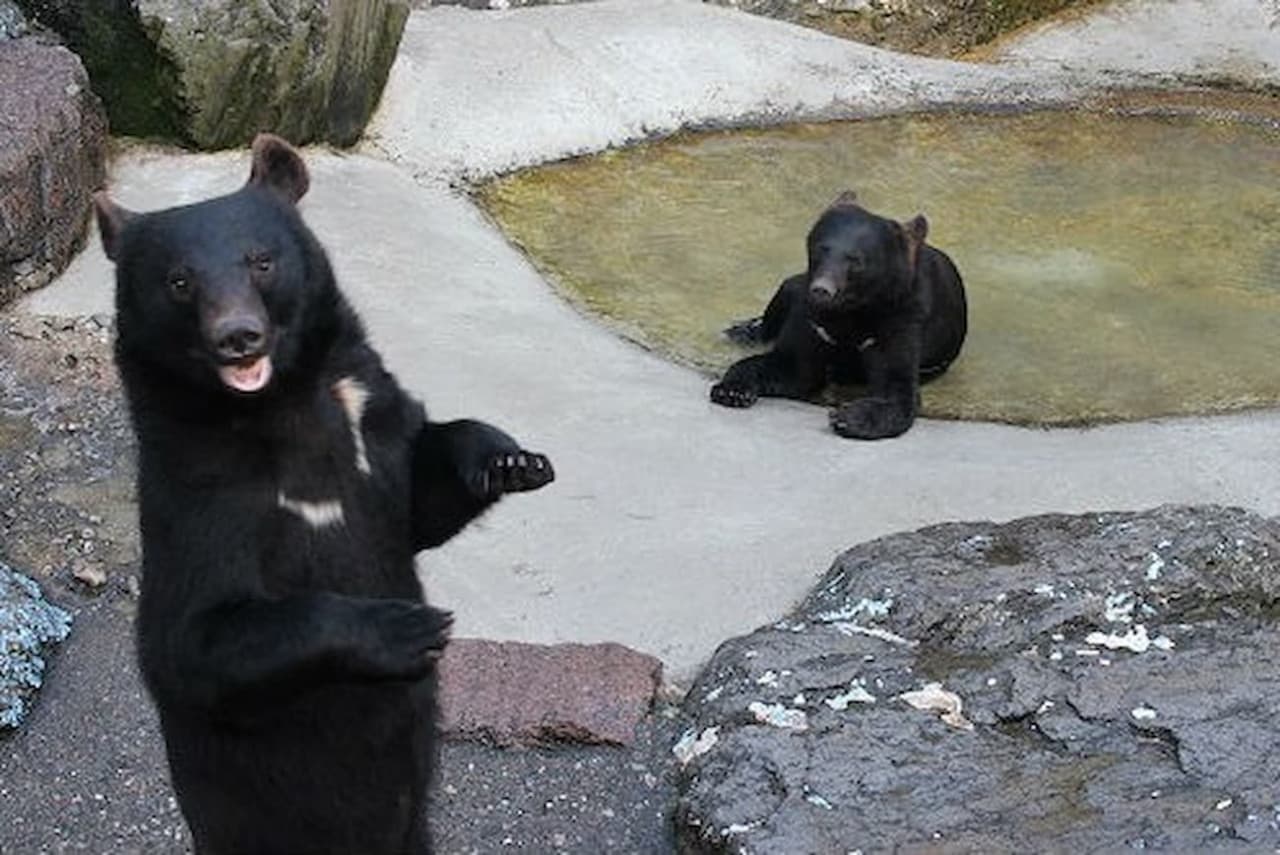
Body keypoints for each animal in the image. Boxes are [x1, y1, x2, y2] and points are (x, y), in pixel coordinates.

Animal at [93, 134, 554, 855]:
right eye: (179, 281)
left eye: (261, 260)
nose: (238, 337)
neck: (280, 408)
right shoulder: (197, 494)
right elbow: (194, 639)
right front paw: (409, 627)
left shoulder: (373, 427)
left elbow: (421, 499)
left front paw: (509, 457)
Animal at [711, 191, 967, 440]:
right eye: (821, 248)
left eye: (856, 260)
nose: (822, 289)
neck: (851, 310)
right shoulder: (813, 320)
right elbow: (792, 365)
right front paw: (732, 390)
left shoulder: (901, 318)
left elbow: (896, 384)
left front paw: (848, 417)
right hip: (797, 286)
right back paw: (744, 330)